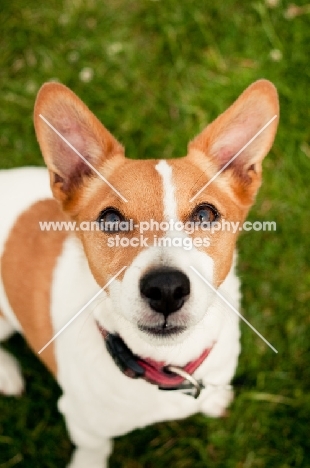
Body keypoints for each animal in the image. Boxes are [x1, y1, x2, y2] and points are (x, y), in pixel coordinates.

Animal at [0, 78, 278, 466]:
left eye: (205, 214)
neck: (166, 364)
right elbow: (94, 447)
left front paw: (214, 399)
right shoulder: (82, 422)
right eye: (110, 219)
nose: (166, 289)